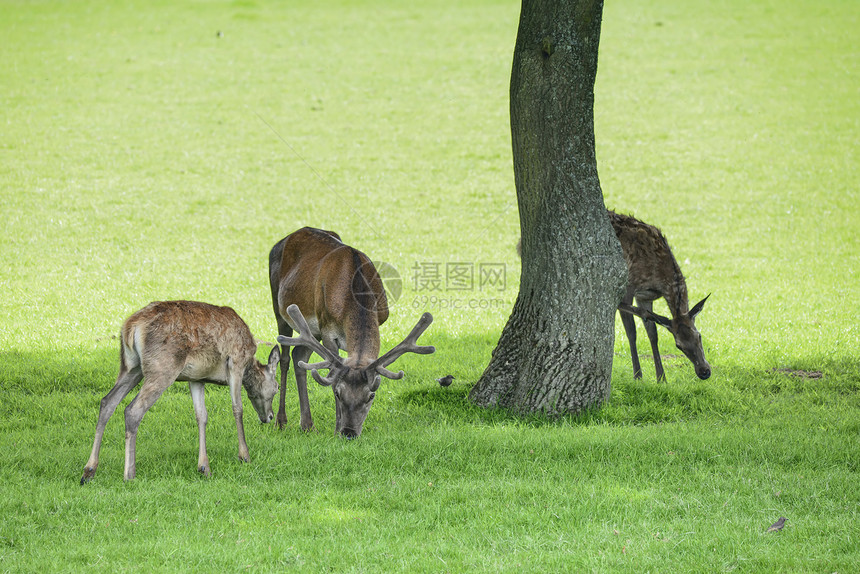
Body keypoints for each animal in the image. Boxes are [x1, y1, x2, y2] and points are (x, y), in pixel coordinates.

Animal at [79, 302, 278, 486]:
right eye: (276, 387)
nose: (269, 416)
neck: (249, 364)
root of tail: (130, 326)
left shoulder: (197, 378)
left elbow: (201, 415)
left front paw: (204, 467)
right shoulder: (236, 362)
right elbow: (237, 408)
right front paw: (244, 456)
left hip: (130, 366)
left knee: (107, 402)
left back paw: (89, 471)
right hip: (162, 367)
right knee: (132, 410)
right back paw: (129, 474)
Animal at [270, 227, 436, 438]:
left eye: (371, 396)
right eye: (338, 394)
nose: (348, 432)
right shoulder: (327, 329)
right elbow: (331, 376)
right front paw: (335, 429)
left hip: (312, 329)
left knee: (299, 355)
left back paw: (307, 424)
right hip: (280, 307)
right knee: (284, 358)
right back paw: (281, 421)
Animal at [612, 212, 712, 382]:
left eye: (699, 336)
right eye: (678, 345)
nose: (704, 371)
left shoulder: (645, 296)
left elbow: (653, 334)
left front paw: (661, 378)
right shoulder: (627, 287)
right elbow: (632, 332)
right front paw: (638, 376)